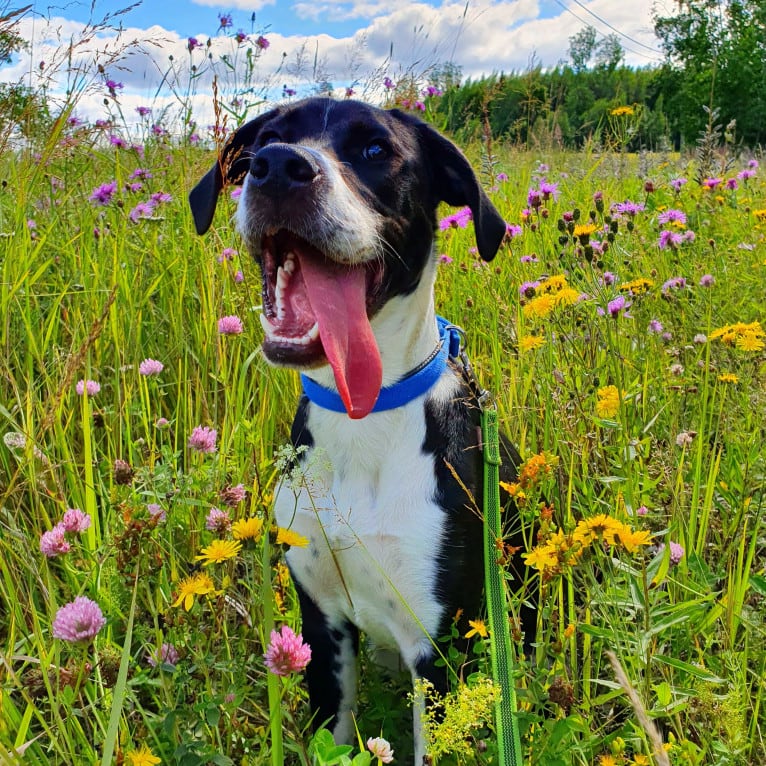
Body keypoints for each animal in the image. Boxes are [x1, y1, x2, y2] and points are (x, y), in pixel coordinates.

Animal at [189, 96, 532, 760]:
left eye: (376, 149)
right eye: (266, 140)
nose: (278, 167)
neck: (363, 417)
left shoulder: (439, 644)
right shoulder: (322, 623)